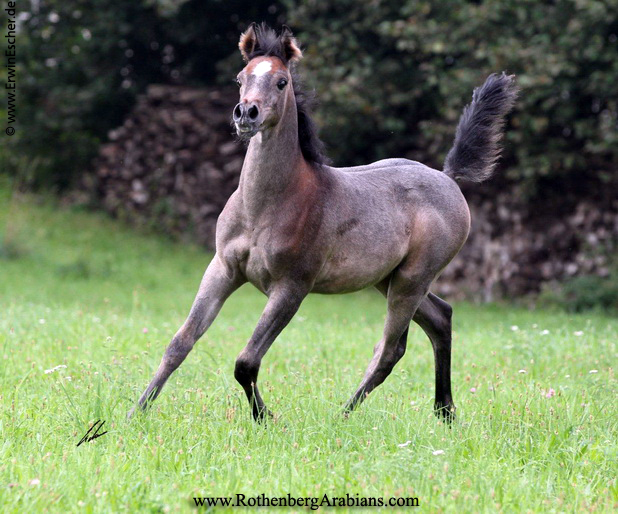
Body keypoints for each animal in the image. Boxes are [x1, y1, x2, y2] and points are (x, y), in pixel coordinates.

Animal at [129, 23, 517, 422]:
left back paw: (344, 416)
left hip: (412, 280)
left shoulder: (292, 287)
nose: (246, 114)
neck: (266, 207)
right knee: (440, 318)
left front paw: (265, 418)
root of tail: (448, 177)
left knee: (390, 349)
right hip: (387, 279)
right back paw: (444, 412)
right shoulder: (222, 268)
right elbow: (180, 342)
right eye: (240, 77)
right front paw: (135, 413)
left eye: (281, 81)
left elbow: (246, 361)